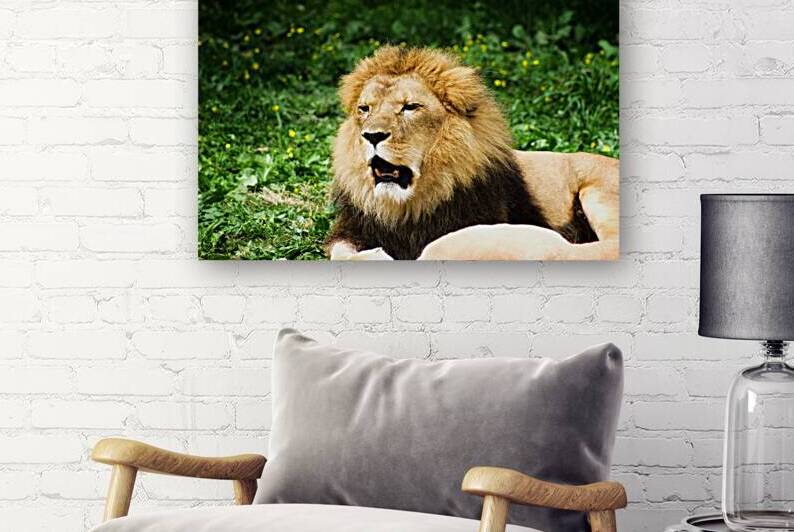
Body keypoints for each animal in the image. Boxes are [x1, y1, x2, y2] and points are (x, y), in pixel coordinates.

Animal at [326, 46, 618, 261]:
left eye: (410, 107)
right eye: (365, 109)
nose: (372, 135)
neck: (408, 206)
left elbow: (438, 246)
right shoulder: (354, 228)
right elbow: (338, 251)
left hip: (599, 192)